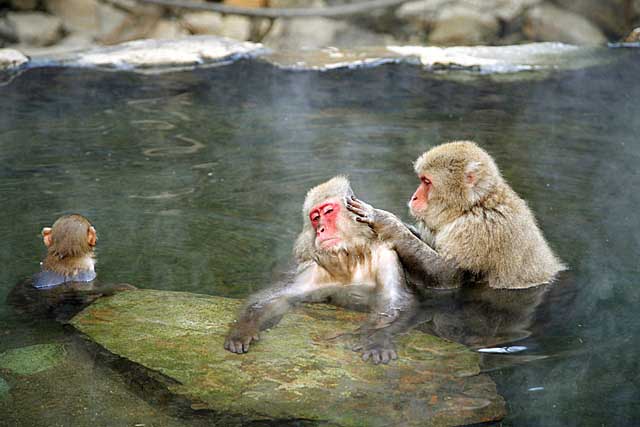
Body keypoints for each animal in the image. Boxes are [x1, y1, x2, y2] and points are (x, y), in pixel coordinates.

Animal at [228, 176, 412, 364]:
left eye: (328, 211)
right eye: (315, 218)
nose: (321, 229)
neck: (349, 257)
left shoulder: (387, 255)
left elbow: (394, 303)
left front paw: (377, 338)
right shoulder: (314, 269)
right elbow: (278, 298)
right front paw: (243, 328)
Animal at [344, 140, 564, 290]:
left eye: (427, 182)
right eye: (421, 180)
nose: (414, 197)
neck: (474, 205)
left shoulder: (476, 230)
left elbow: (448, 276)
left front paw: (385, 221)